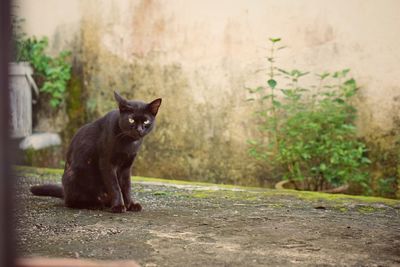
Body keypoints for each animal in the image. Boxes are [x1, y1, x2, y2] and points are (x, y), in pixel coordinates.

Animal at [30, 92, 161, 214]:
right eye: (131, 119)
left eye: (146, 121)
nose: (139, 130)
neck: (129, 143)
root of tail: (64, 191)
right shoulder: (106, 163)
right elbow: (115, 187)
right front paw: (118, 206)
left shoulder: (126, 166)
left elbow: (126, 187)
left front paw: (130, 204)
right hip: (73, 176)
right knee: (70, 202)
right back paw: (94, 204)